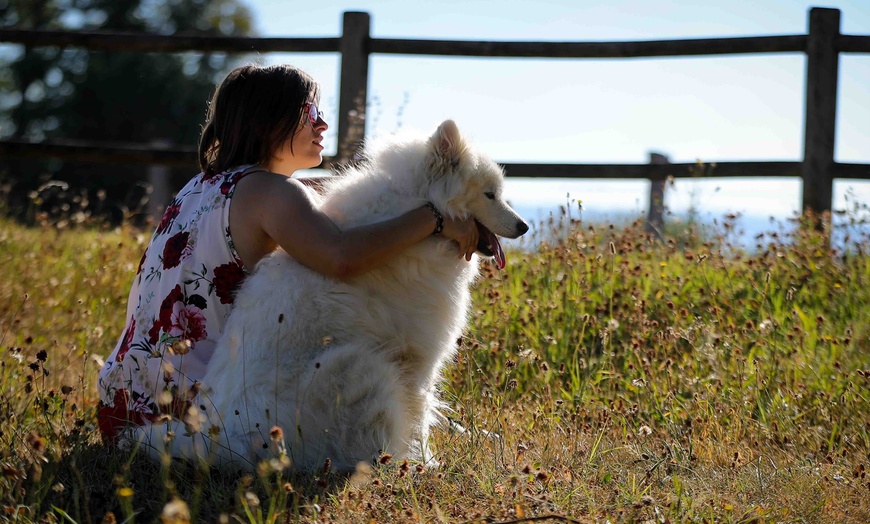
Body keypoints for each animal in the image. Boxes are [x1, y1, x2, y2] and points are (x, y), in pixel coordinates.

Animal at [135, 119, 532, 470]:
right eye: (490, 194)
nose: (524, 226)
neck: (418, 210)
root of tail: (221, 439)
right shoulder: (420, 358)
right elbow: (418, 416)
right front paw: (427, 464)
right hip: (360, 364)